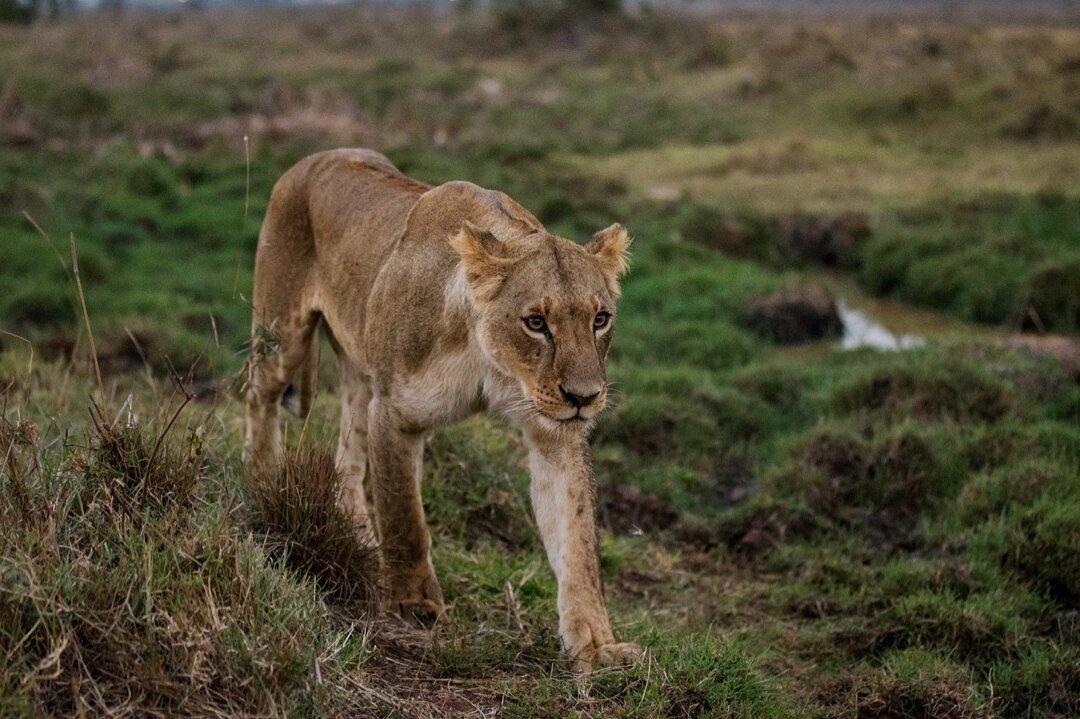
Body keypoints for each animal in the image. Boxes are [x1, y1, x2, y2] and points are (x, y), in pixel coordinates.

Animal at [245, 148, 641, 666]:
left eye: (600, 319)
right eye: (536, 322)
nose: (584, 397)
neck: (493, 362)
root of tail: (314, 158)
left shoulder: (554, 433)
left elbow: (577, 542)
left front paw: (596, 644)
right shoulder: (393, 413)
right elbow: (405, 516)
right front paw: (414, 606)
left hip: (359, 368)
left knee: (347, 456)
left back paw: (358, 535)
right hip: (281, 334)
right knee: (259, 399)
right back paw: (262, 484)